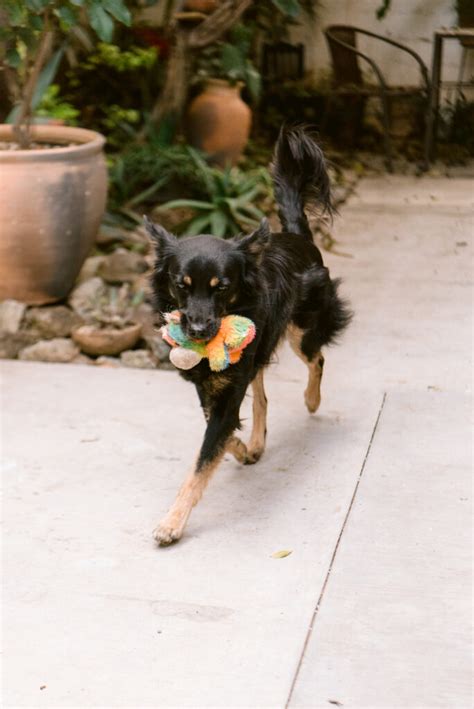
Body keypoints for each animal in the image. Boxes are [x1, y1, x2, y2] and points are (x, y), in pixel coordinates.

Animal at [145, 126, 352, 544]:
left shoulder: (229, 388)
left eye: (222, 287)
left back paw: (312, 400)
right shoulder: (211, 385)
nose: (197, 330)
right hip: (257, 353)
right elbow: (216, 439)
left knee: (317, 358)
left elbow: (203, 460)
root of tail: (297, 236)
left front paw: (172, 522)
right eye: (181, 285)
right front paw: (239, 447)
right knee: (263, 396)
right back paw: (255, 444)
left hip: (301, 331)